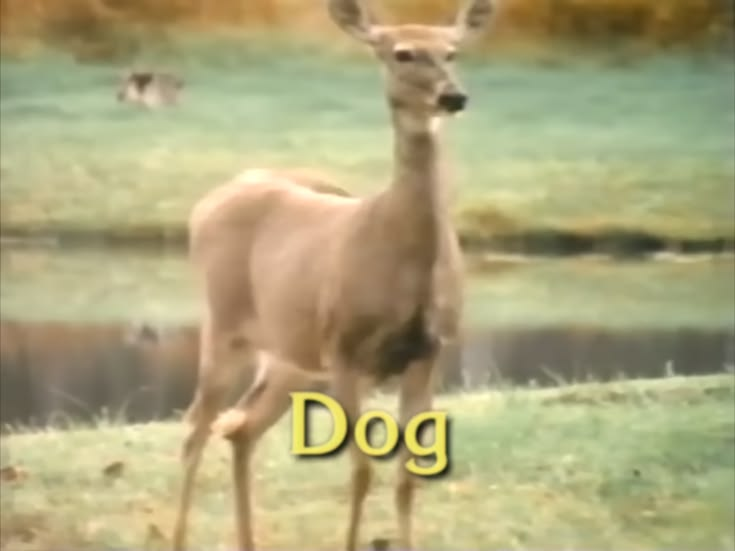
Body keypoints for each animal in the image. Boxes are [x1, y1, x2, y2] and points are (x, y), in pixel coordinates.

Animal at [170, 0, 493, 549]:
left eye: (452, 51)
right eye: (402, 53)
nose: (453, 96)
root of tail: (212, 199)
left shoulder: (429, 349)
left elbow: (407, 477)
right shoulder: (344, 346)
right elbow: (361, 473)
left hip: (292, 356)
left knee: (240, 428)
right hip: (225, 322)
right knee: (196, 428)